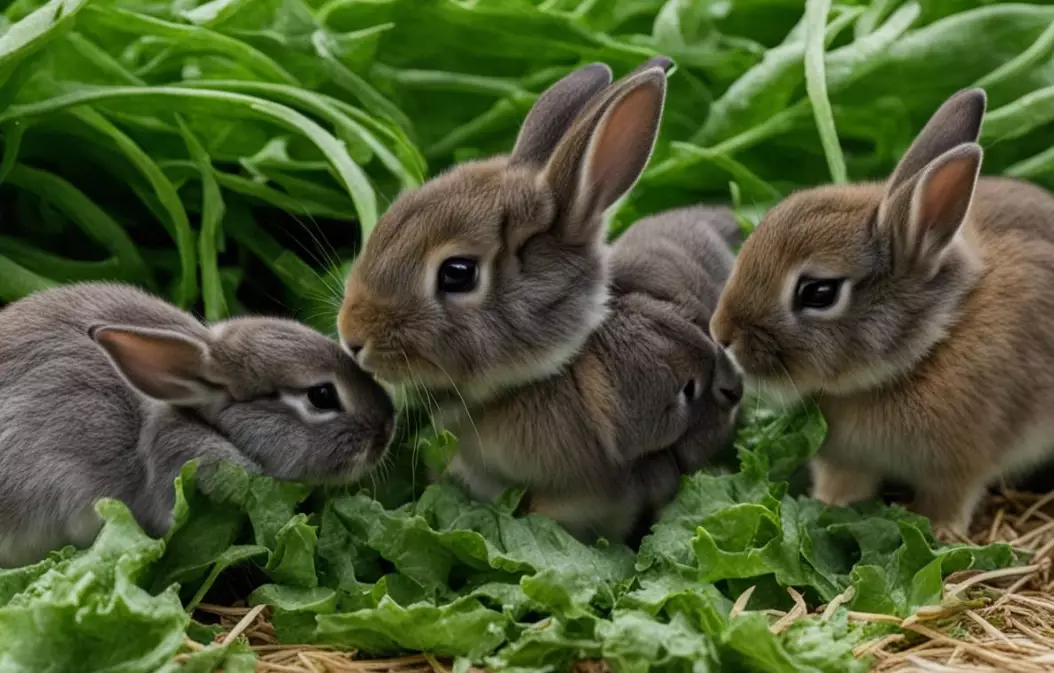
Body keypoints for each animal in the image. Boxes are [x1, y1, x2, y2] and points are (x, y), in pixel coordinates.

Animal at [710, 87, 1054, 537]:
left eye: (818, 292)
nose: (721, 334)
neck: (929, 344)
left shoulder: (960, 466)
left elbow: (950, 498)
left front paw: (940, 532)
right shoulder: (846, 460)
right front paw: (829, 504)